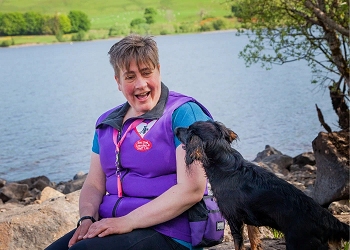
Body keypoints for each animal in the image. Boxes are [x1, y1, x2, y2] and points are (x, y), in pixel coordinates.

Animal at [175, 120, 350, 249]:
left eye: (188, 130)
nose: (176, 128)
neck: (225, 165)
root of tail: (326, 220)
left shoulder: (234, 220)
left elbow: (239, 245)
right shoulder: (250, 220)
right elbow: (254, 242)